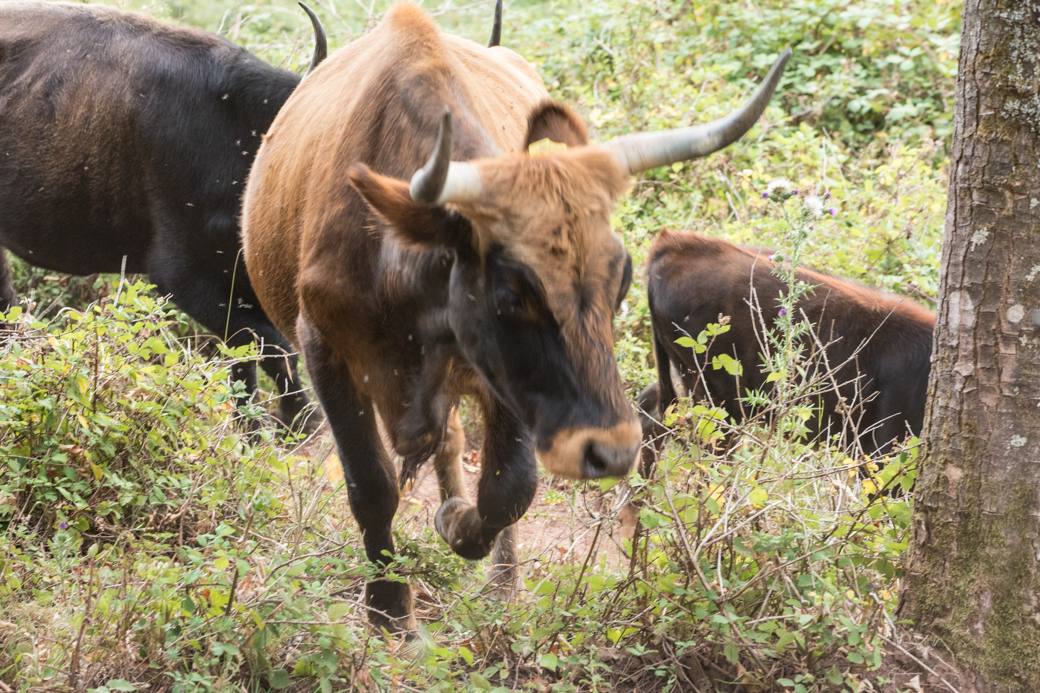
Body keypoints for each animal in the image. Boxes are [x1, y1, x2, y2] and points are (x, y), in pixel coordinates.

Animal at [241, 2, 786, 628]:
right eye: (510, 294)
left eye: (622, 279)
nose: (611, 449)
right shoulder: (323, 347)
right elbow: (371, 485)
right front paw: (389, 609)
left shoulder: (500, 380)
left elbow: (508, 488)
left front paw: (465, 535)